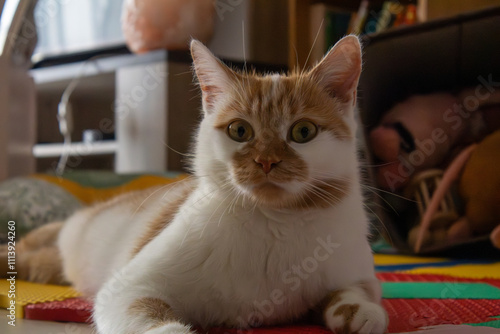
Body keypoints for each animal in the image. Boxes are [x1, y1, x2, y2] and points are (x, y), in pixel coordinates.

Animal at [8, 35, 390, 332]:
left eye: (304, 132)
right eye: (240, 130)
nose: (266, 161)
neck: (274, 222)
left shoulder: (358, 274)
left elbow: (354, 292)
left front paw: (359, 312)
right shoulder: (128, 285)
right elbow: (148, 314)